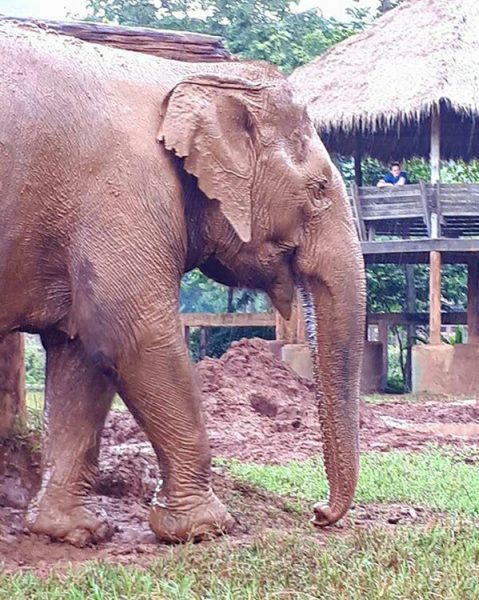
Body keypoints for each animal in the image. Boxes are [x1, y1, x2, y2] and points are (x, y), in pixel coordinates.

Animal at [0, 21, 366, 548]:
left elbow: (80, 347)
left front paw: (75, 531)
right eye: (319, 190)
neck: (182, 77)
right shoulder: (123, 192)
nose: (318, 513)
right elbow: (133, 336)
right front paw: (207, 527)